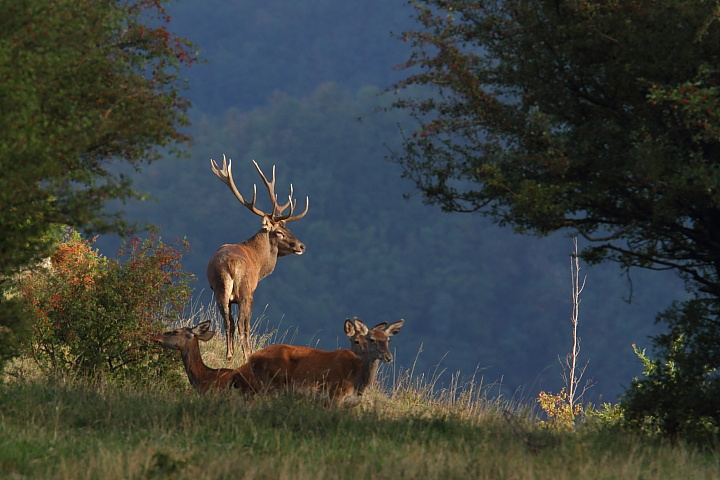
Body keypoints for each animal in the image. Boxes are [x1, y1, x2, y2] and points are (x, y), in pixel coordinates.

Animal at [208, 156, 310, 362]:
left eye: (288, 228)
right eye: (279, 232)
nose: (302, 246)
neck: (259, 264)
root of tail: (231, 265)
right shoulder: (250, 291)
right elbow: (246, 324)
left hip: (219, 290)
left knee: (228, 321)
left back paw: (229, 355)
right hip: (245, 291)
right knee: (242, 323)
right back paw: (247, 355)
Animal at [250, 316, 402, 406]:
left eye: (388, 340)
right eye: (372, 339)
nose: (389, 357)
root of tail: (252, 358)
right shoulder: (336, 394)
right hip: (271, 384)